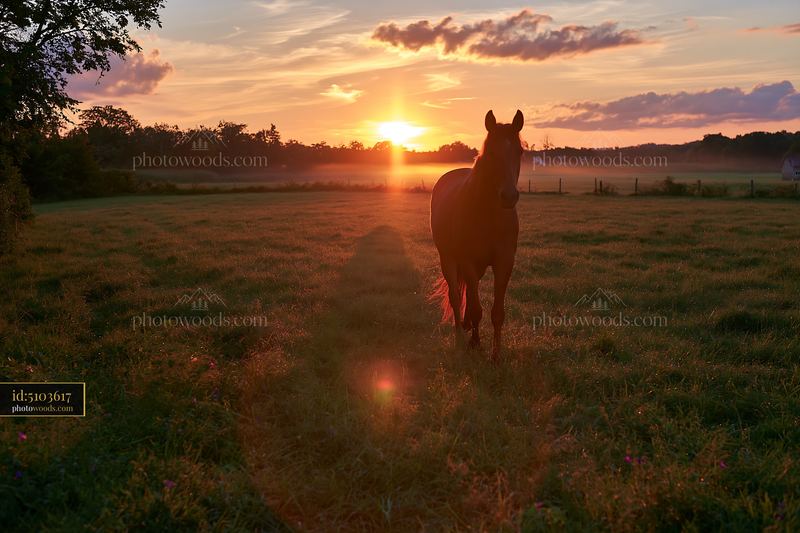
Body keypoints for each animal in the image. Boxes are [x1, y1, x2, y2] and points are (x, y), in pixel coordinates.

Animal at [430, 109, 524, 359]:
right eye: (491, 152)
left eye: (520, 152)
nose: (509, 196)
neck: (488, 215)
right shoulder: (468, 262)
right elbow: (475, 307)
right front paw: (474, 343)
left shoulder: (504, 262)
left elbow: (496, 312)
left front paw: (496, 355)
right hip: (448, 260)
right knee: (456, 297)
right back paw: (460, 338)